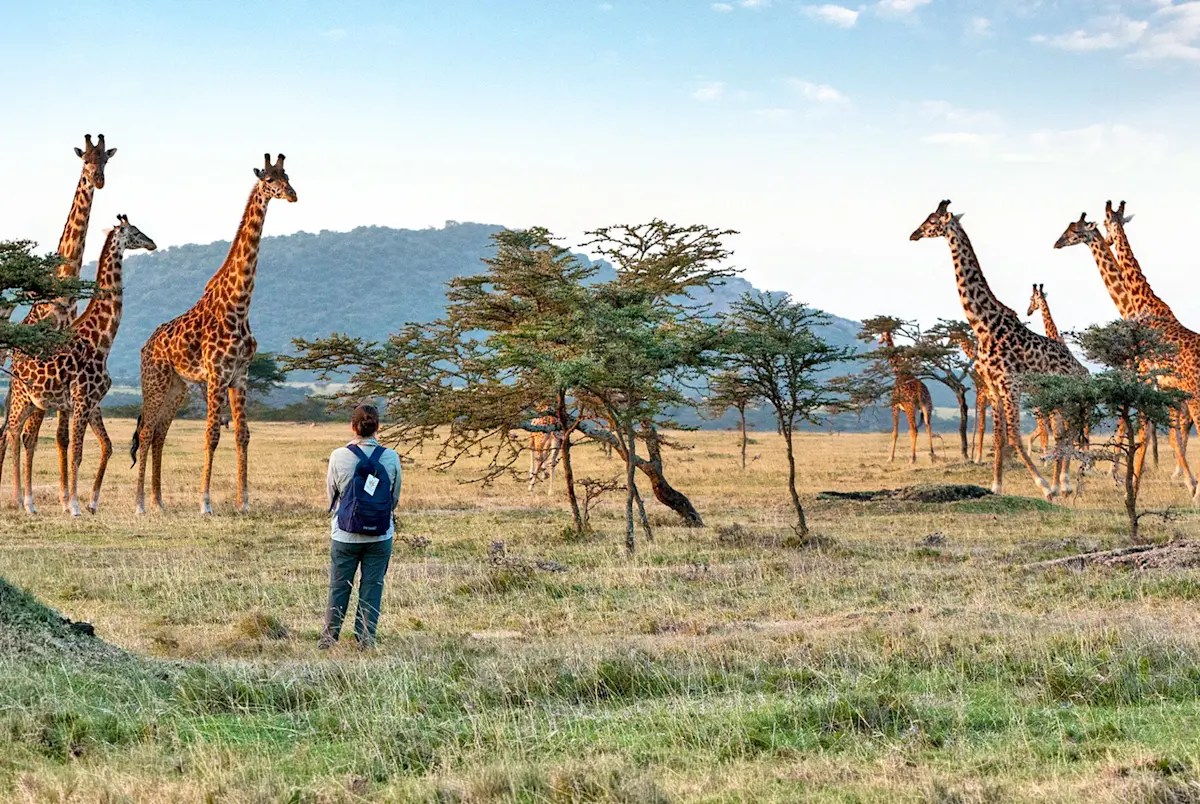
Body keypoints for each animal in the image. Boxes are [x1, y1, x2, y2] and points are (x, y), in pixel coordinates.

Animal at [0, 134, 117, 508]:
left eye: (105, 160)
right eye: (85, 160)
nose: (98, 180)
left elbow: (63, 436)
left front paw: (68, 498)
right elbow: (36, 435)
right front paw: (32, 498)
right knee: (13, 431)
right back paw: (18, 495)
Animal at [3, 217, 156, 515]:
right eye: (134, 232)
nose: (152, 243)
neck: (102, 340)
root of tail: (16, 356)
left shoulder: (91, 402)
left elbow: (100, 447)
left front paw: (88, 502)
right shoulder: (82, 400)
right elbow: (76, 452)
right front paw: (73, 506)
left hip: (34, 403)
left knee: (19, 435)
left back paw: (28, 501)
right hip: (21, 397)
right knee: (13, 433)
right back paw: (21, 501)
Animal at [131, 154, 296, 515]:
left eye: (288, 176)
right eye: (268, 180)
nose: (292, 195)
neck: (239, 304)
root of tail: (145, 346)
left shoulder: (241, 376)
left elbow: (242, 435)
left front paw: (243, 502)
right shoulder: (217, 376)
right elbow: (211, 436)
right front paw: (205, 503)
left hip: (177, 387)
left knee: (159, 433)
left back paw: (158, 501)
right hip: (155, 380)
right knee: (147, 431)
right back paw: (140, 504)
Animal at [878, 329, 935, 463]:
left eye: (882, 334)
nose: (879, 341)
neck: (899, 371)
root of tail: (920, 392)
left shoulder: (894, 407)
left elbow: (895, 432)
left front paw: (890, 458)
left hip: (910, 408)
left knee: (914, 429)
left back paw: (912, 459)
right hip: (927, 407)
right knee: (928, 427)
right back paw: (932, 456)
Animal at [911, 200, 1087, 498]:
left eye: (932, 220)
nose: (914, 234)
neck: (984, 325)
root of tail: (1081, 369)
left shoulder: (1010, 384)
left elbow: (1013, 436)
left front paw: (1042, 486)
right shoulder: (993, 387)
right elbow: (999, 437)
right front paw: (996, 485)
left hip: (1064, 397)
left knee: (1069, 432)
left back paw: (1060, 483)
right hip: (1054, 398)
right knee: (1065, 433)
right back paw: (1061, 482)